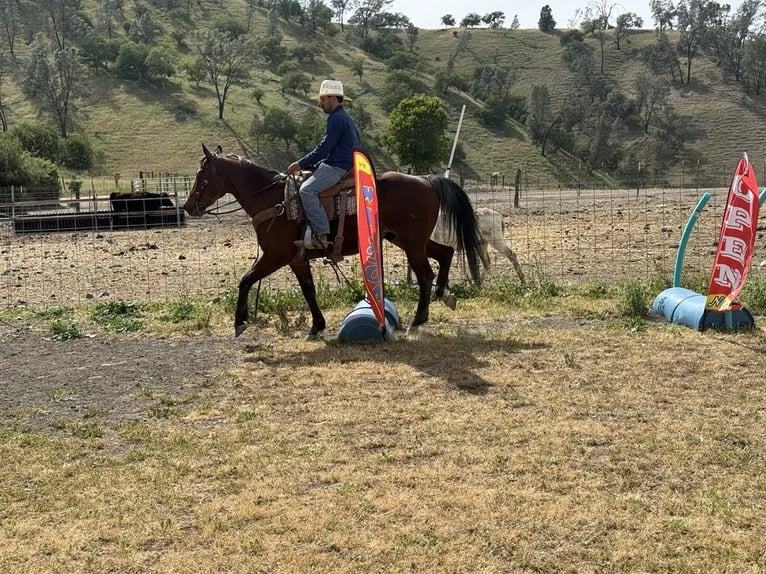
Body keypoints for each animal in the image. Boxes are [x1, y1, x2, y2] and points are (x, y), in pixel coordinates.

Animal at [184, 144, 483, 338]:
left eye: (201, 175)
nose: (187, 206)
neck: (274, 200)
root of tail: (426, 180)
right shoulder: (296, 259)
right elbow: (309, 291)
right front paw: (316, 326)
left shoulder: (275, 255)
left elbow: (245, 280)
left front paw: (240, 321)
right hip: (409, 240)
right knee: (446, 253)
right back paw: (445, 294)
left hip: (411, 244)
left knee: (425, 274)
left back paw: (419, 320)